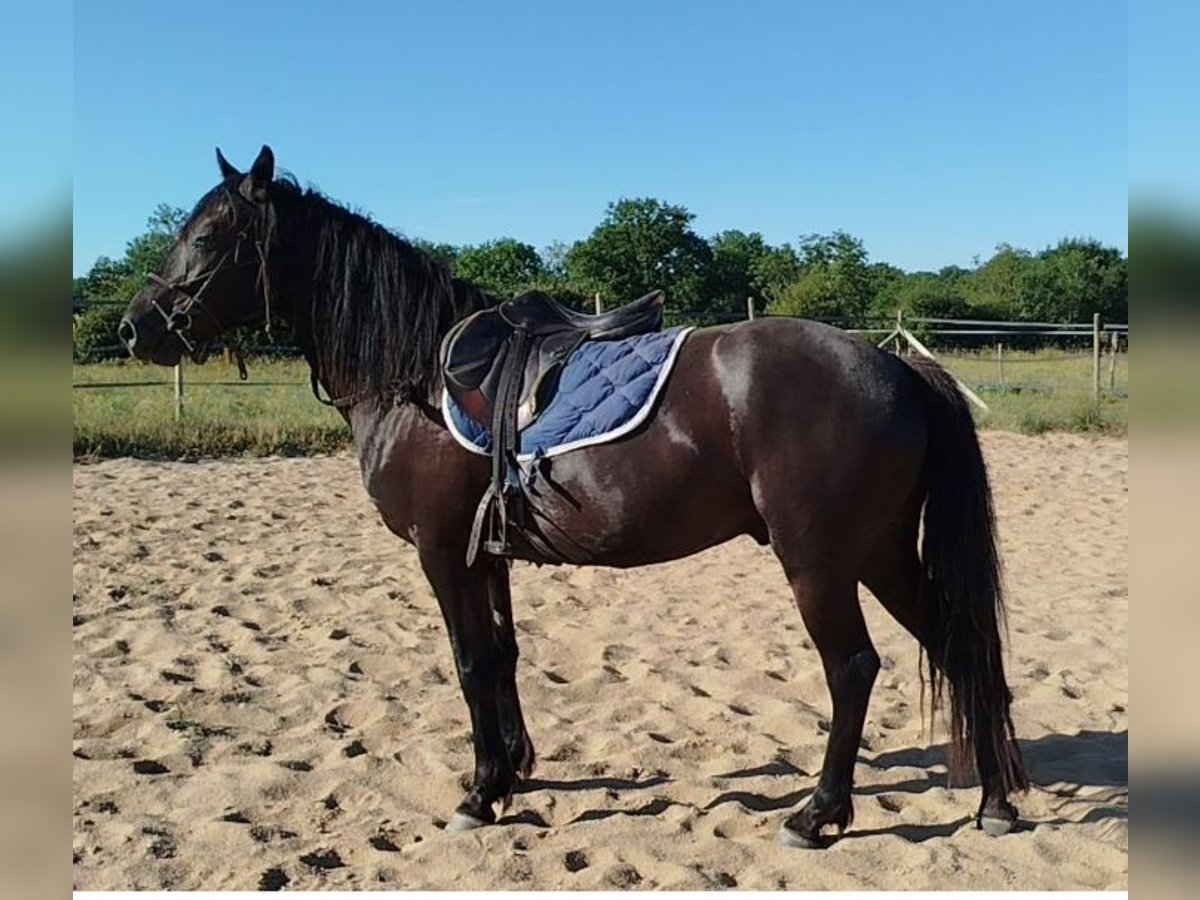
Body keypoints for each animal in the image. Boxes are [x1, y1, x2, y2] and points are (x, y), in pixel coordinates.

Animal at [118, 145, 1027, 847]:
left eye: (208, 236)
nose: (135, 327)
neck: (415, 375)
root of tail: (895, 365)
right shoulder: (486, 553)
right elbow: (502, 655)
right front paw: (514, 768)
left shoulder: (441, 551)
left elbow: (468, 660)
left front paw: (482, 793)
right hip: (879, 551)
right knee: (961, 646)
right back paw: (994, 802)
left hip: (821, 560)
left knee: (854, 667)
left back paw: (818, 815)